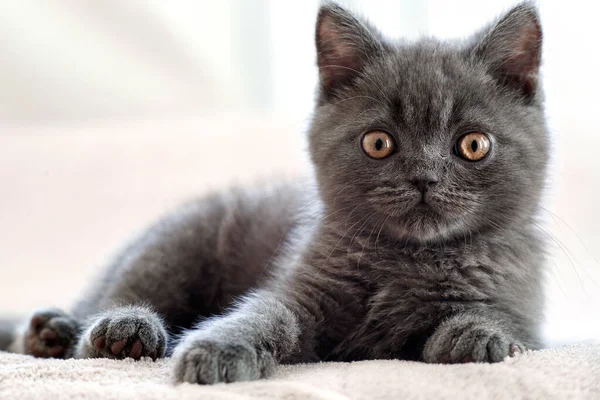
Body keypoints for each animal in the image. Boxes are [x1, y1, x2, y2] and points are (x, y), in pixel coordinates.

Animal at [0, 0, 548, 384]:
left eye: (473, 144)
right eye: (379, 143)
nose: (424, 178)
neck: (408, 259)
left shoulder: (524, 305)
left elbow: (506, 322)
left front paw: (477, 335)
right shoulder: (300, 287)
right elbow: (267, 312)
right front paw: (218, 350)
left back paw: (50, 333)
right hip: (178, 241)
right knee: (117, 292)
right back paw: (104, 332)